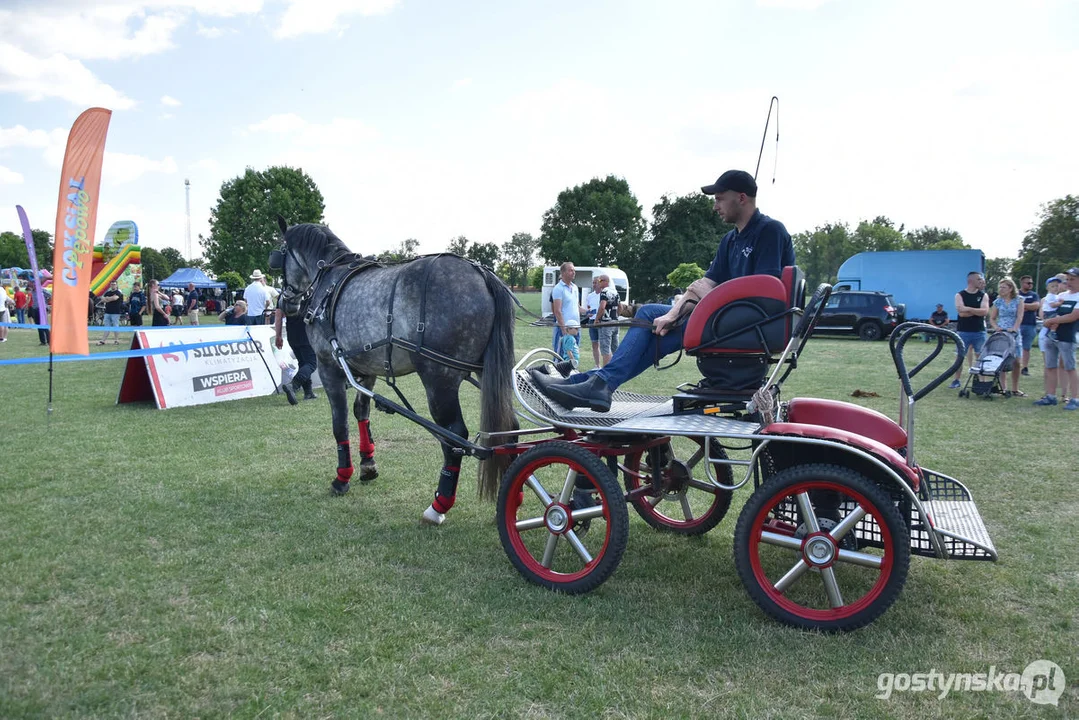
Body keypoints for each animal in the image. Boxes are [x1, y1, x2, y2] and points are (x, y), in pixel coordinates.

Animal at [274, 220, 517, 524]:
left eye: (279, 256)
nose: (286, 303)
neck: (329, 281)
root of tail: (482, 274)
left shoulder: (328, 365)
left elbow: (340, 423)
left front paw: (342, 477)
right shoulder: (366, 368)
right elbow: (361, 413)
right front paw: (367, 464)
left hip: (439, 379)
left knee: (454, 436)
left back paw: (439, 506)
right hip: (488, 375)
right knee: (509, 427)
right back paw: (512, 498)